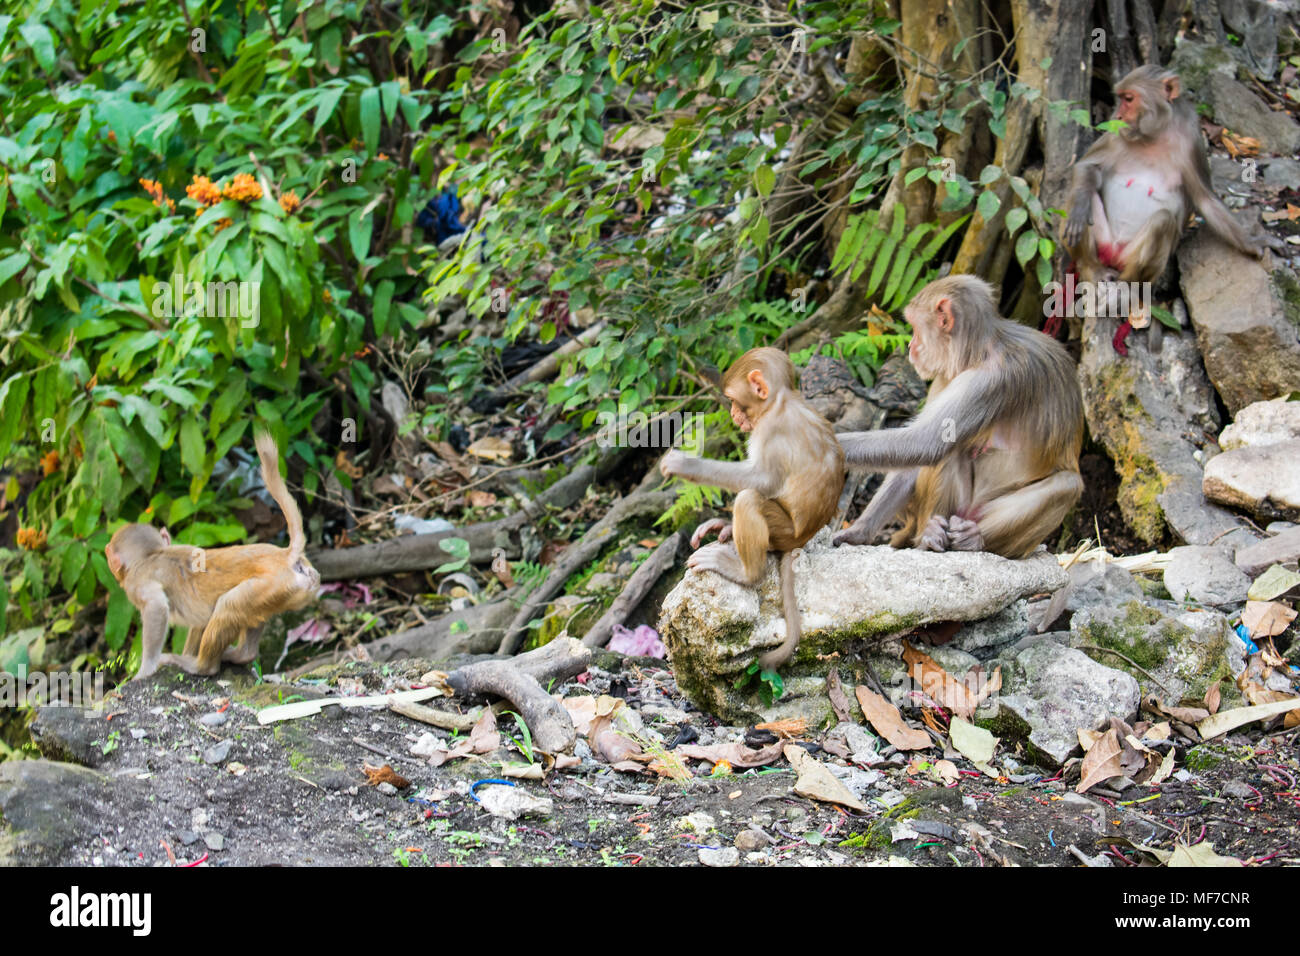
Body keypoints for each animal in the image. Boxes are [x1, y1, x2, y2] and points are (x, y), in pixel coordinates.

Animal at [105, 426, 321, 681]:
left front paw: (145, 669)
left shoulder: (136, 583)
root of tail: (285, 556)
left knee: (228, 606)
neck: (150, 554)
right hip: (280, 592)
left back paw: (200, 666)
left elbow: (157, 607)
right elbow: (199, 621)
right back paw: (241, 656)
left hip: (269, 585)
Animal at [660, 348, 842, 671]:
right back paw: (727, 529)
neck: (780, 401)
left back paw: (747, 573)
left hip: (783, 530)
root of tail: (800, 540)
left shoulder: (770, 432)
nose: (732, 414)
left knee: (750, 499)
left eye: (733, 398)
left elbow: (761, 481)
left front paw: (685, 464)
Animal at [832, 277, 1086, 556]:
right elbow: (919, 453)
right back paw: (930, 535)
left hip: (988, 522)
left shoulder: (993, 379)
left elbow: (926, 443)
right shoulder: (945, 376)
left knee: (1067, 483)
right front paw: (860, 530)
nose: (910, 347)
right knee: (950, 453)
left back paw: (973, 540)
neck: (978, 353)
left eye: (915, 328)